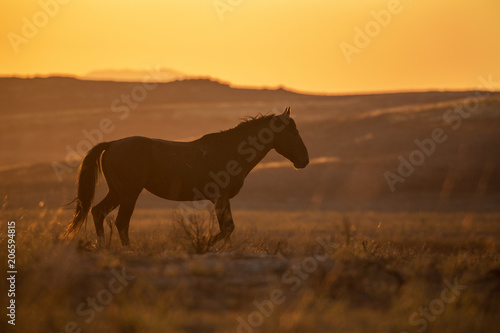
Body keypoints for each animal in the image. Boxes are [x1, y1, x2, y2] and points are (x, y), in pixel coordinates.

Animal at [66, 107, 308, 246]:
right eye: (293, 132)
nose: (304, 160)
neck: (231, 150)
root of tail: (112, 144)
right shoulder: (220, 198)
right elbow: (227, 228)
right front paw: (205, 244)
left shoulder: (221, 199)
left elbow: (228, 229)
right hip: (129, 194)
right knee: (121, 222)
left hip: (117, 192)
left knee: (98, 212)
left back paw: (102, 248)